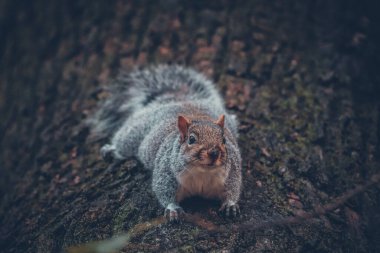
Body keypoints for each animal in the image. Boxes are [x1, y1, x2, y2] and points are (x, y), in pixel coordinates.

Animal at [88, 65, 242, 221]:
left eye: (224, 140)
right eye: (191, 139)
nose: (214, 153)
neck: (203, 172)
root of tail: (179, 100)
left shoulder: (231, 172)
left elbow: (233, 187)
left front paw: (230, 204)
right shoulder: (166, 170)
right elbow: (163, 189)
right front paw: (172, 208)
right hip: (135, 132)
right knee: (123, 141)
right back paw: (111, 150)